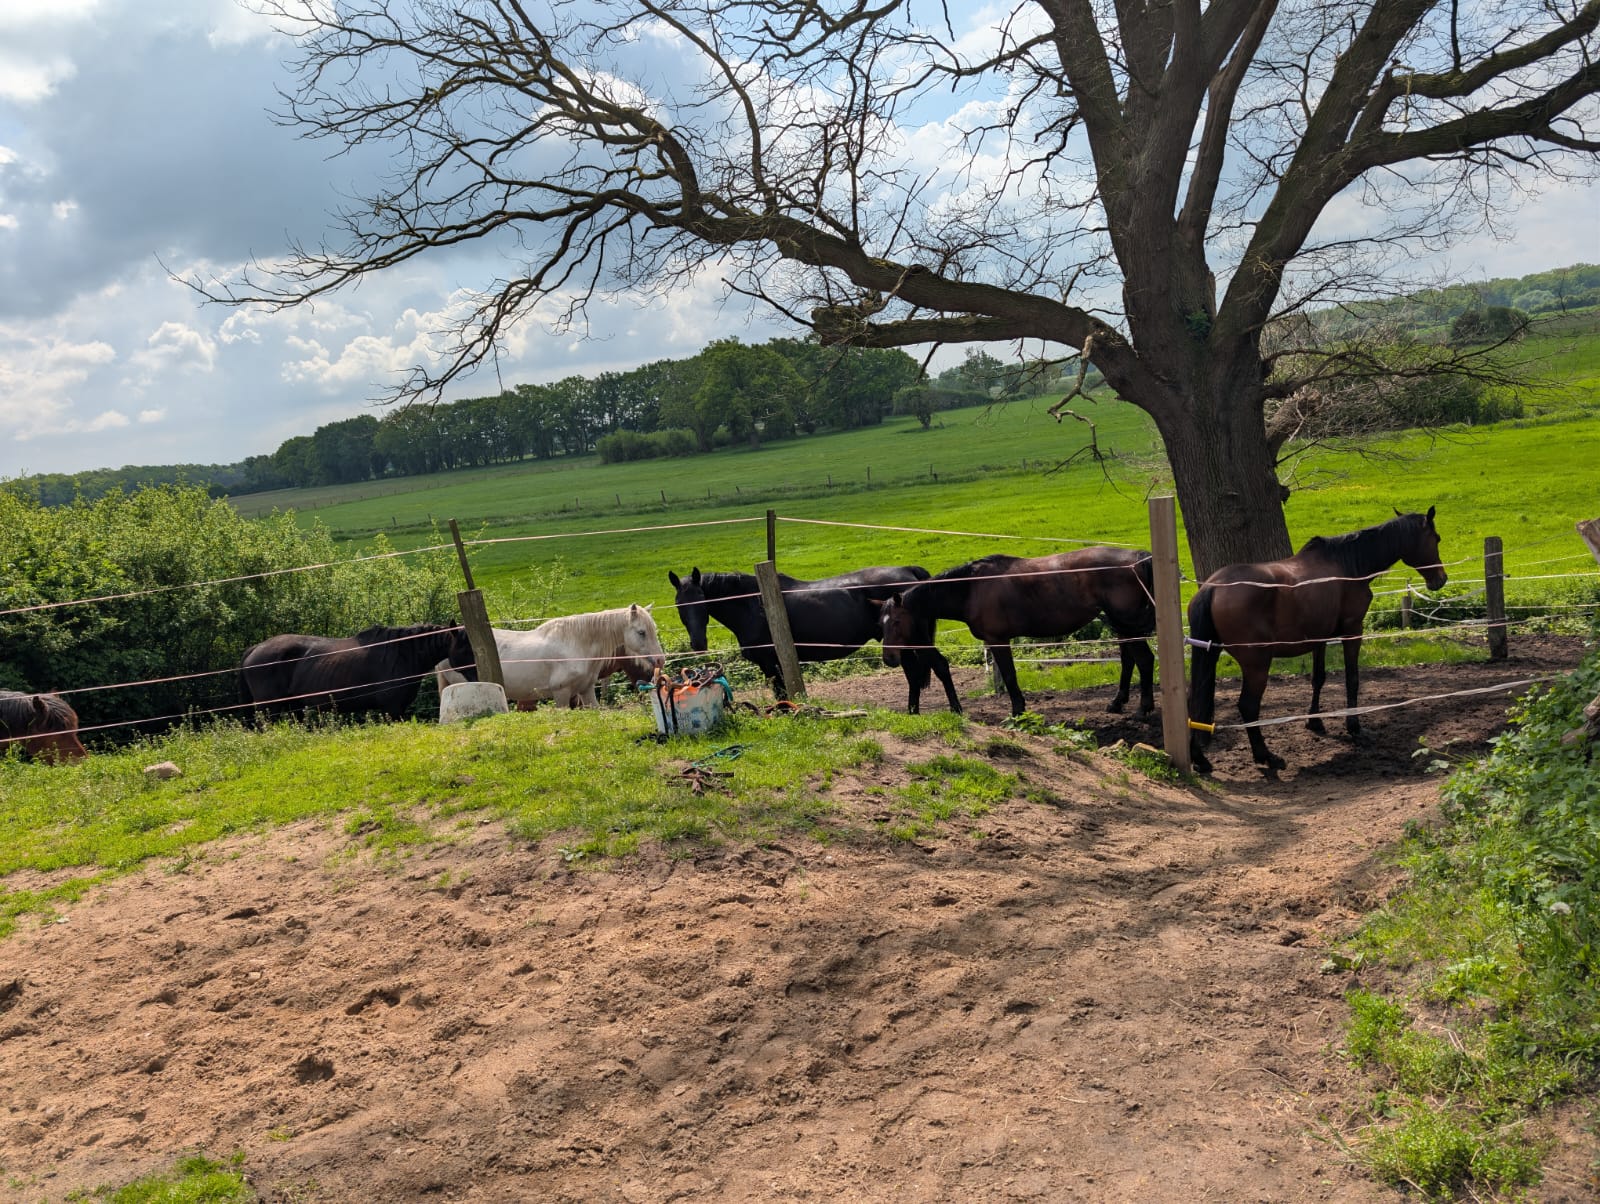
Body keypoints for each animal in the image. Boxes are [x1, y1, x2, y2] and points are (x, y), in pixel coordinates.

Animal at [241, 623, 475, 721]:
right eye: (465, 648)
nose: (476, 674)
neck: (401, 654)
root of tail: (255, 649)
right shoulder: (392, 709)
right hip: (269, 707)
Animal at [666, 566, 961, 714]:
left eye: (701, 602)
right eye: (679, 604)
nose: (698, 644)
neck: (753, 603)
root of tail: (910, 573)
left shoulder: (769, 663)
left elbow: (781, 693)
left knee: (940, 665)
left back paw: (955, 710)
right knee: (913, 674)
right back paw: (913, 712)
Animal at [878, 547, 1157, 718]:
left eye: (897, 622)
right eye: (882, 623)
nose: (889, 659)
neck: (971, 588)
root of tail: (1138, 558)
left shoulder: (998, 640)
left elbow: (1010, 676)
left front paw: (1017, 711)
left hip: (1126, 624)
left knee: (1144, 660)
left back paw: (1143, 709)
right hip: (1121, 626)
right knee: (1129, 660)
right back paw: (1117, 703)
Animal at [1187, 507, 1447, 772]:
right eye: (1436, 538)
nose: (1441, 579)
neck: (1347, 566)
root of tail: (1213, 587)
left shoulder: (1319, 638)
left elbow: (1318, 679)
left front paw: (1315, 723)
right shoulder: (1353, 631)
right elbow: (1352, 679)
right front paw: (1354, 728)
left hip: (1211, 654)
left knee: (1194, 703)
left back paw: (1200, 759)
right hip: (1257, 664)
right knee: (1248, 706)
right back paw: (1266, 756)